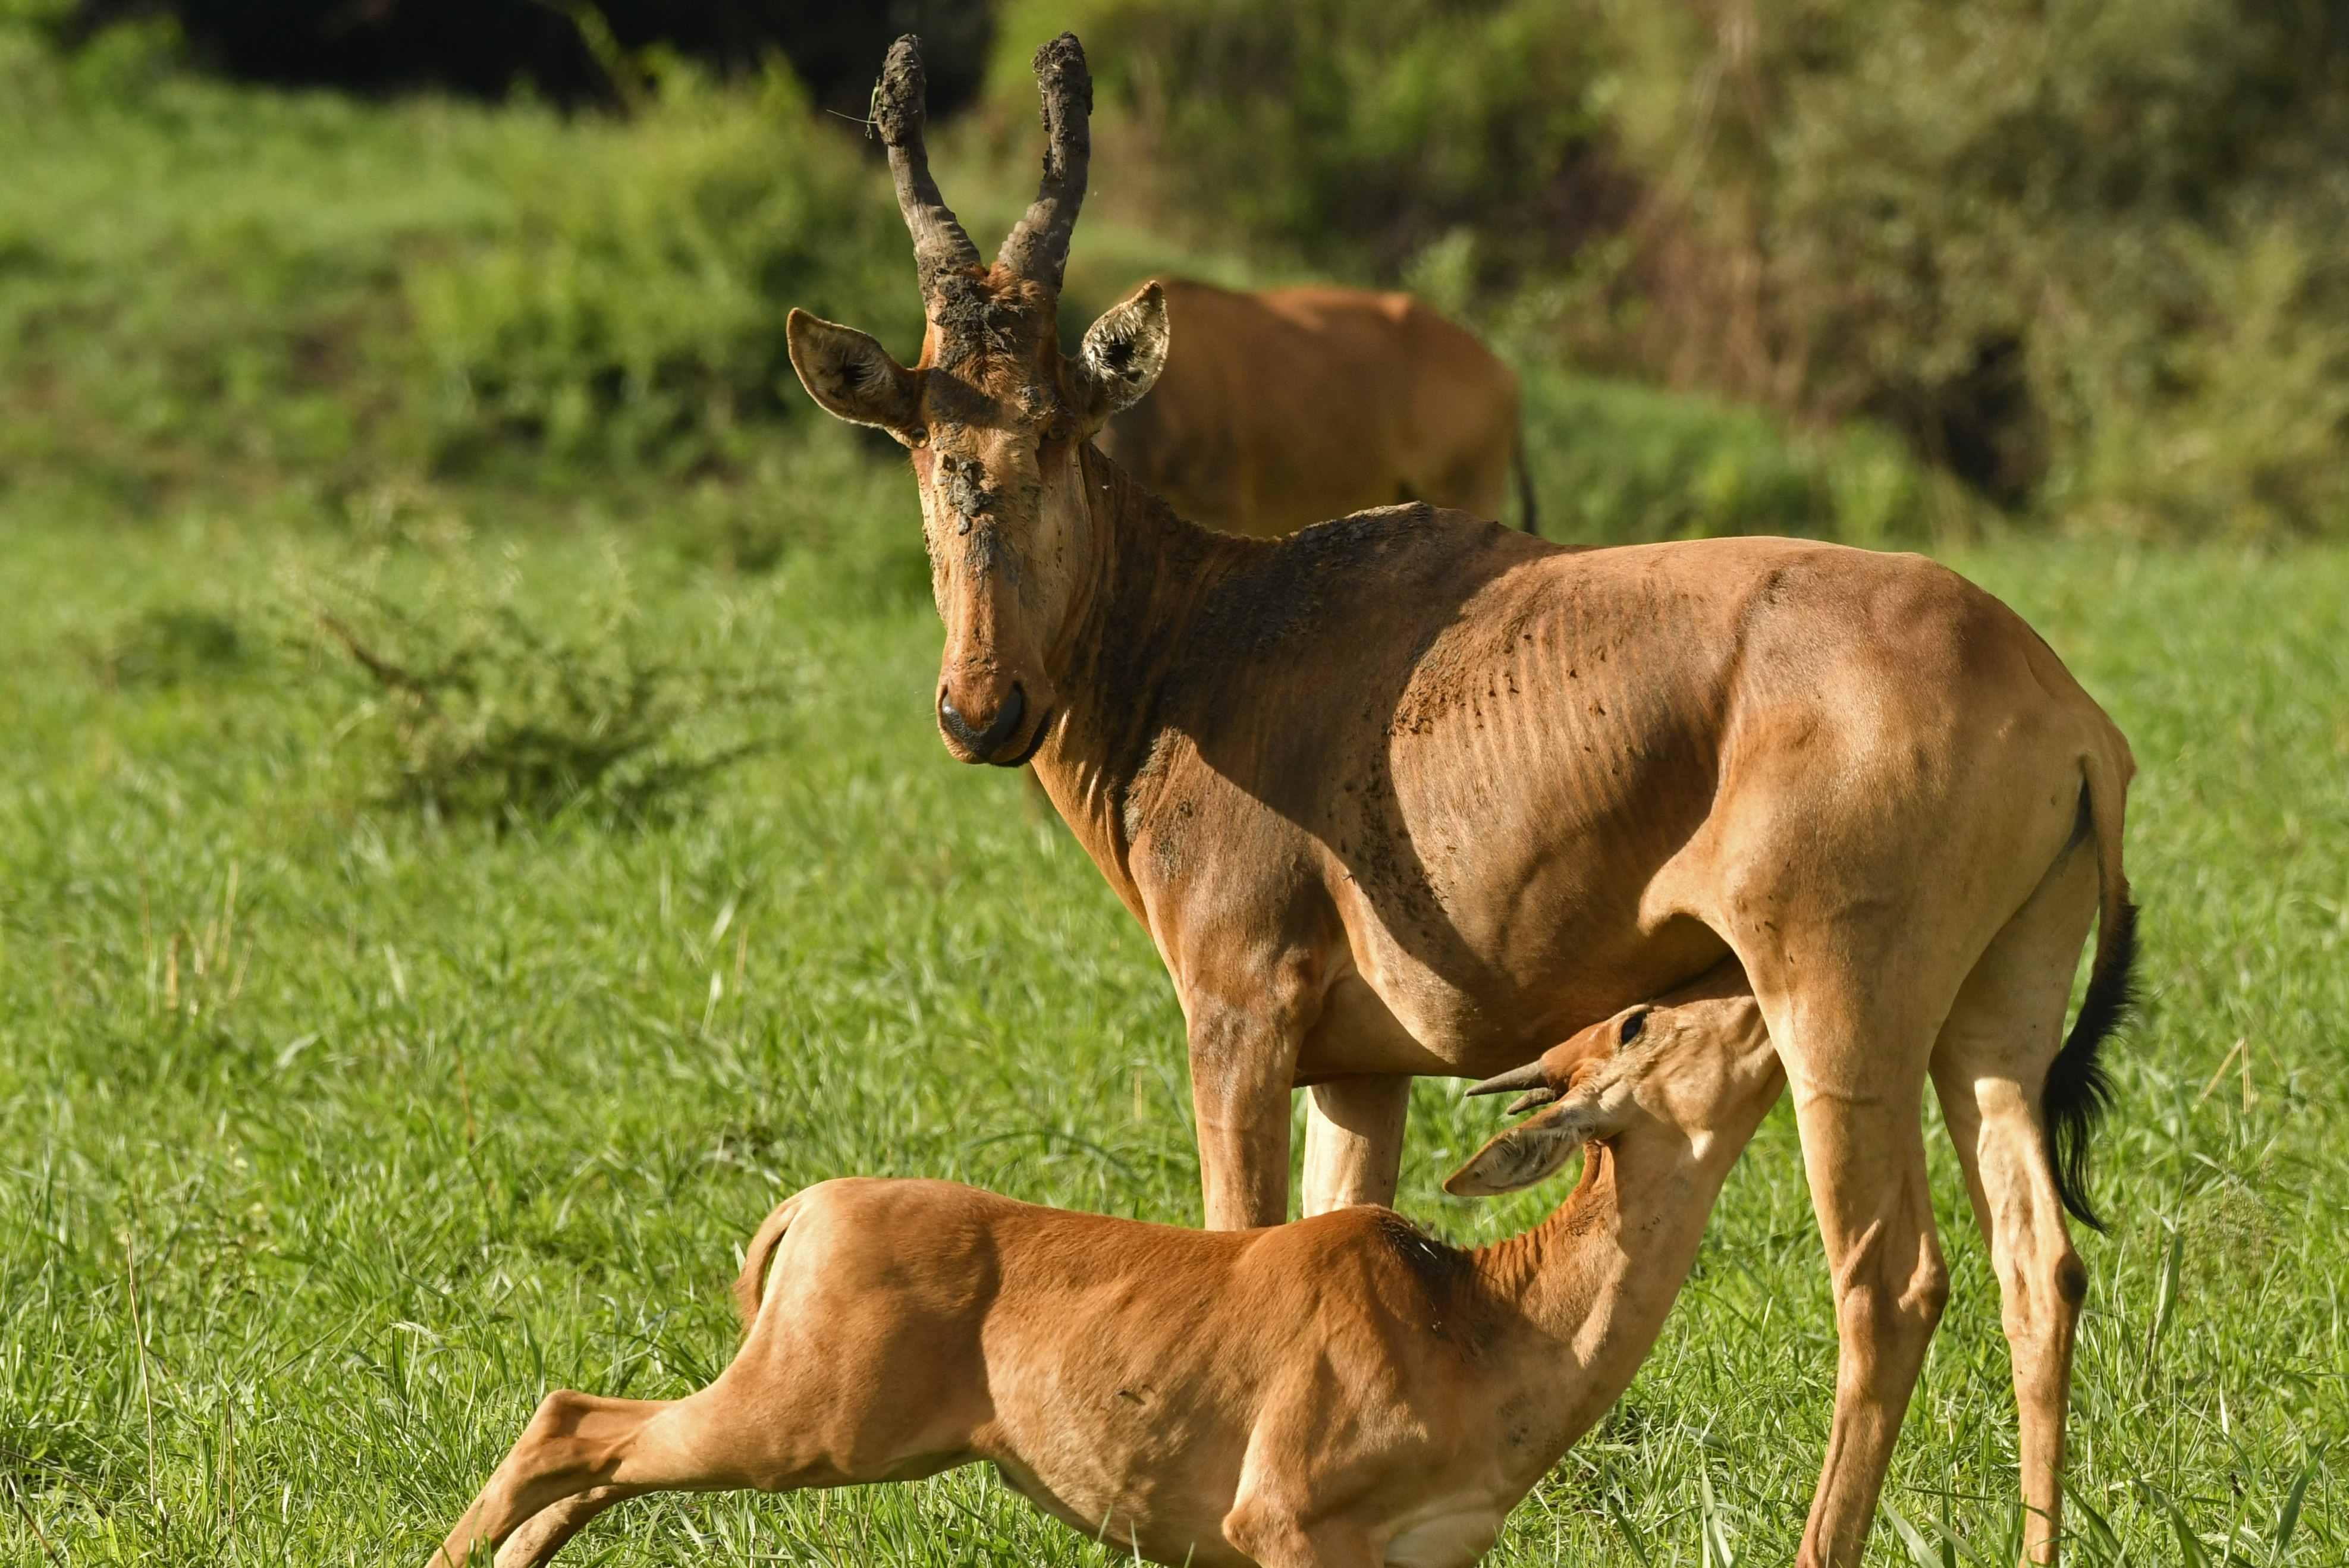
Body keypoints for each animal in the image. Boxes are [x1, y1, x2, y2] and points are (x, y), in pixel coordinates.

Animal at [432, 972, 1776, 1558]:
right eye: (1642, 1019)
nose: (1764, 999)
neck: (1479, 1316)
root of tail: (809, 1208)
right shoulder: (1282, 1516)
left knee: (603, 1447)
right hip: (809, 1416)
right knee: (572, 1415)